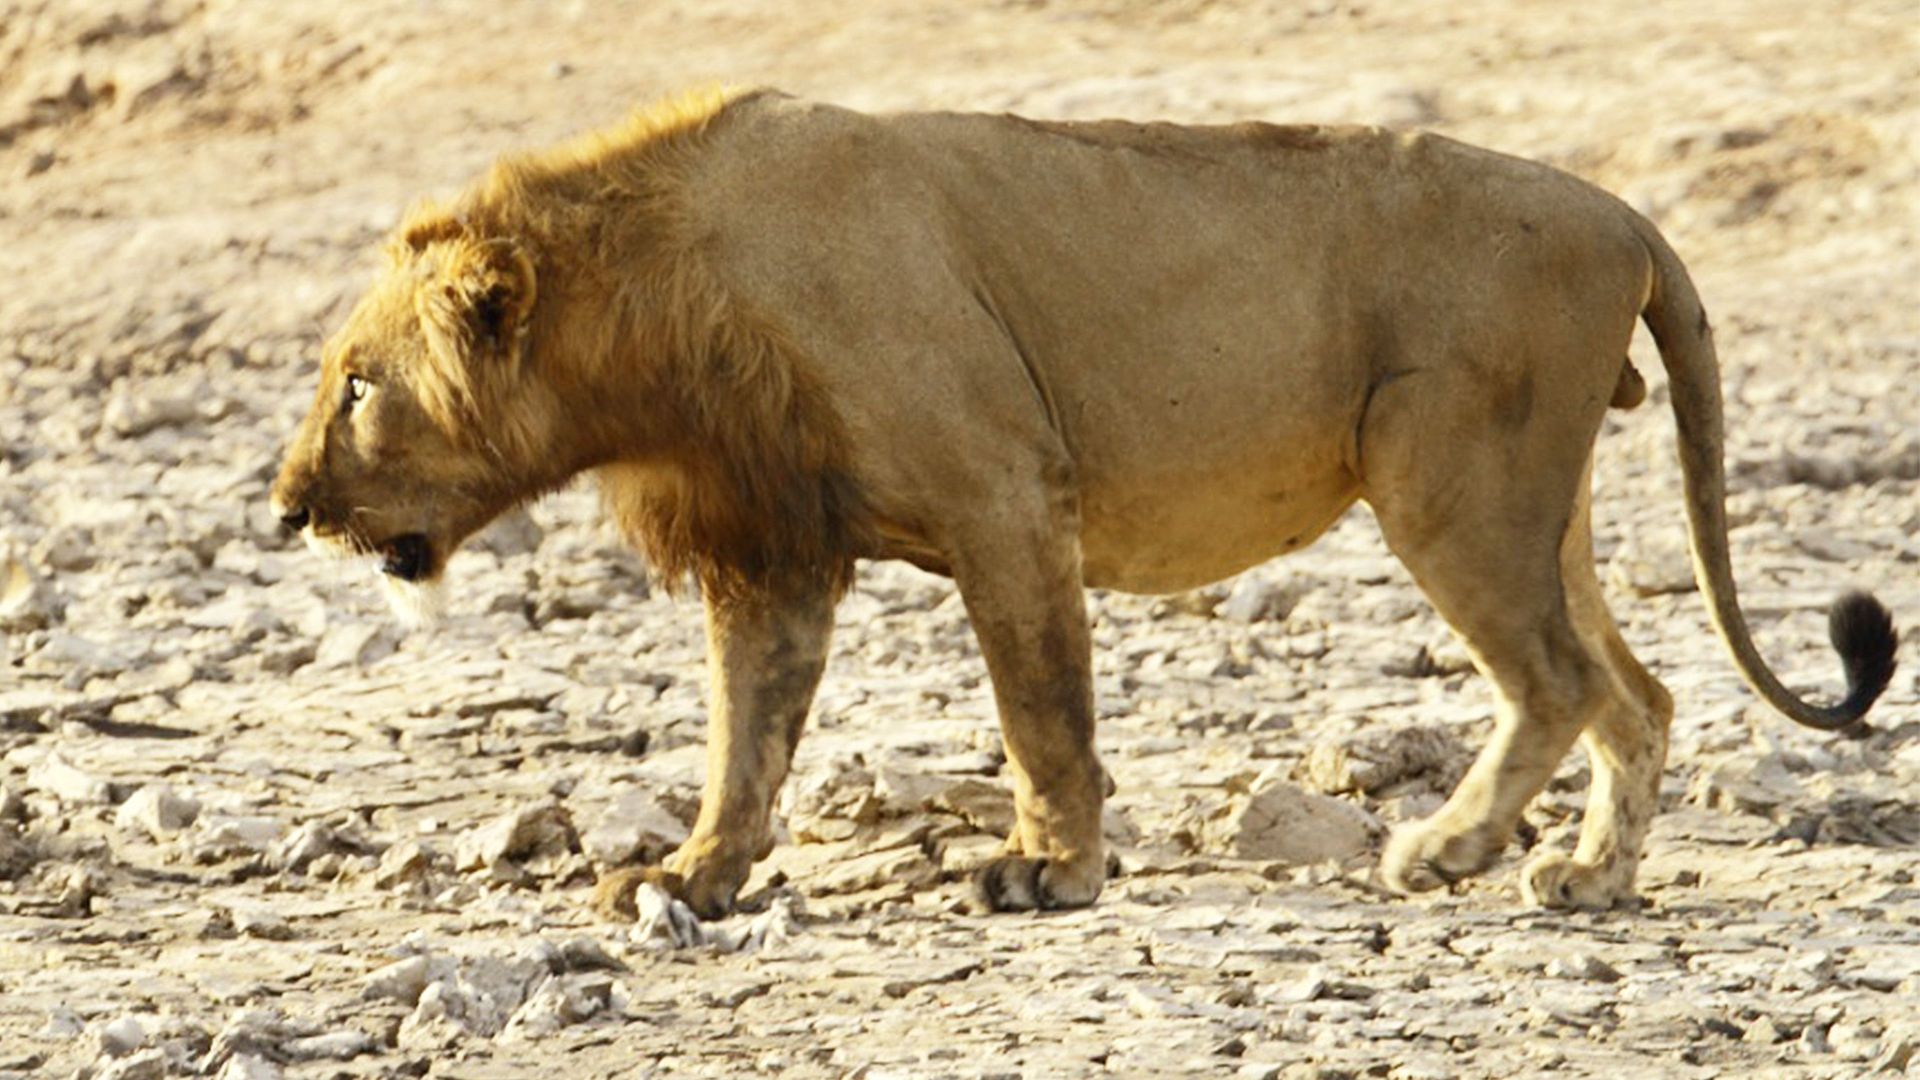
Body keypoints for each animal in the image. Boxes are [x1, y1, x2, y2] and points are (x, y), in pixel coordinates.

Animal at [271, 88, 1897, 918]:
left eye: (354, 387)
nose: (284, 510)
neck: (653, 319)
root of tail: (1622, 211)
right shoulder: (770, 547)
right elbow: (746, 736)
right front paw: (693, 877)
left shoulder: (1001, 490)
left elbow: (1040, 709)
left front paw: (1051, 870)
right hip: (1538, 506)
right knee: (1641, 693)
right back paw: (1589, 877)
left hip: (1445, 479)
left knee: (1558, 682)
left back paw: (1449, 851)